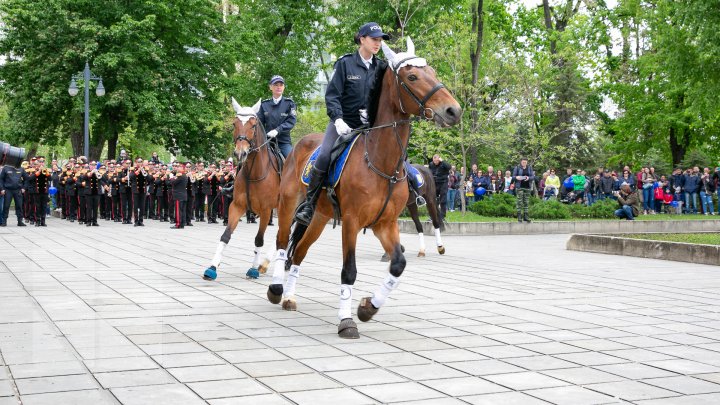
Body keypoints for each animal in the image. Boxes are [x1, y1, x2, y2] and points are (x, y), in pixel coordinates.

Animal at [204, 98, 282, 280]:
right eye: (234, 123)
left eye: (253, 125)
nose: (241, 153)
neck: (254, 172)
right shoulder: (237, 206)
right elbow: (226, 235)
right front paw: (212, 267)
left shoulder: (266, 211)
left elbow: (259, 239)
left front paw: (253, 269)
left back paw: (265, 263)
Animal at [262, 38, 462, 336]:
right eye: (412, 77)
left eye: (434, 72)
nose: (453, 111)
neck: (380, 160)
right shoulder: (352, 222)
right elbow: (349, 270)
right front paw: (346, 320)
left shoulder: (385, 223)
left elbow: (398, 264)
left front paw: (368, 307)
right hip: (287, 207)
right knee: (281, 243)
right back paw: (276, 289)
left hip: (319, 217)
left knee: (299, 252)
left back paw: (289, 297)